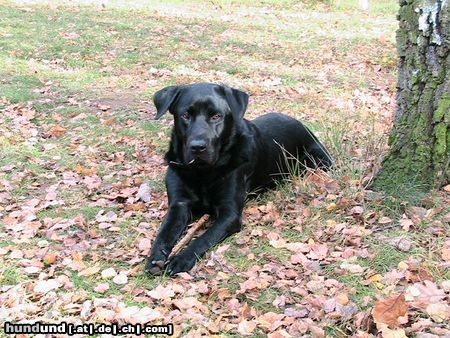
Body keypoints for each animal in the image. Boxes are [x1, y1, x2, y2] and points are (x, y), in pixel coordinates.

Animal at [146, 83, 332, 276]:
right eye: (185, 115)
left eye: (216, 116)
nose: (197, 147)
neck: (201, 171)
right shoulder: (179, 204)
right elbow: (164, 233)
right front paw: (155, 257)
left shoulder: (230, 214)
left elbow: (204, 238)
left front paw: (182, 258)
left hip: (318, 162)